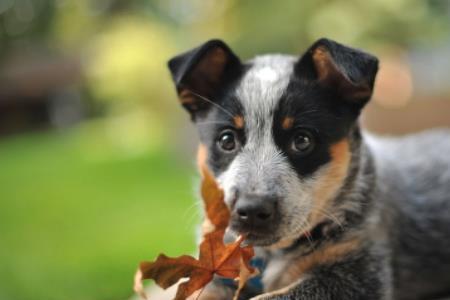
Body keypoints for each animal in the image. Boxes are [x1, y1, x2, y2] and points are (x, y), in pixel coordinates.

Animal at [163, 38, 450, 298]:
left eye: (302, 140)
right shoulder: (216, 278)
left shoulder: (357, 273)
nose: (252, 209)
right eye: (226, 140)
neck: (268, 256)